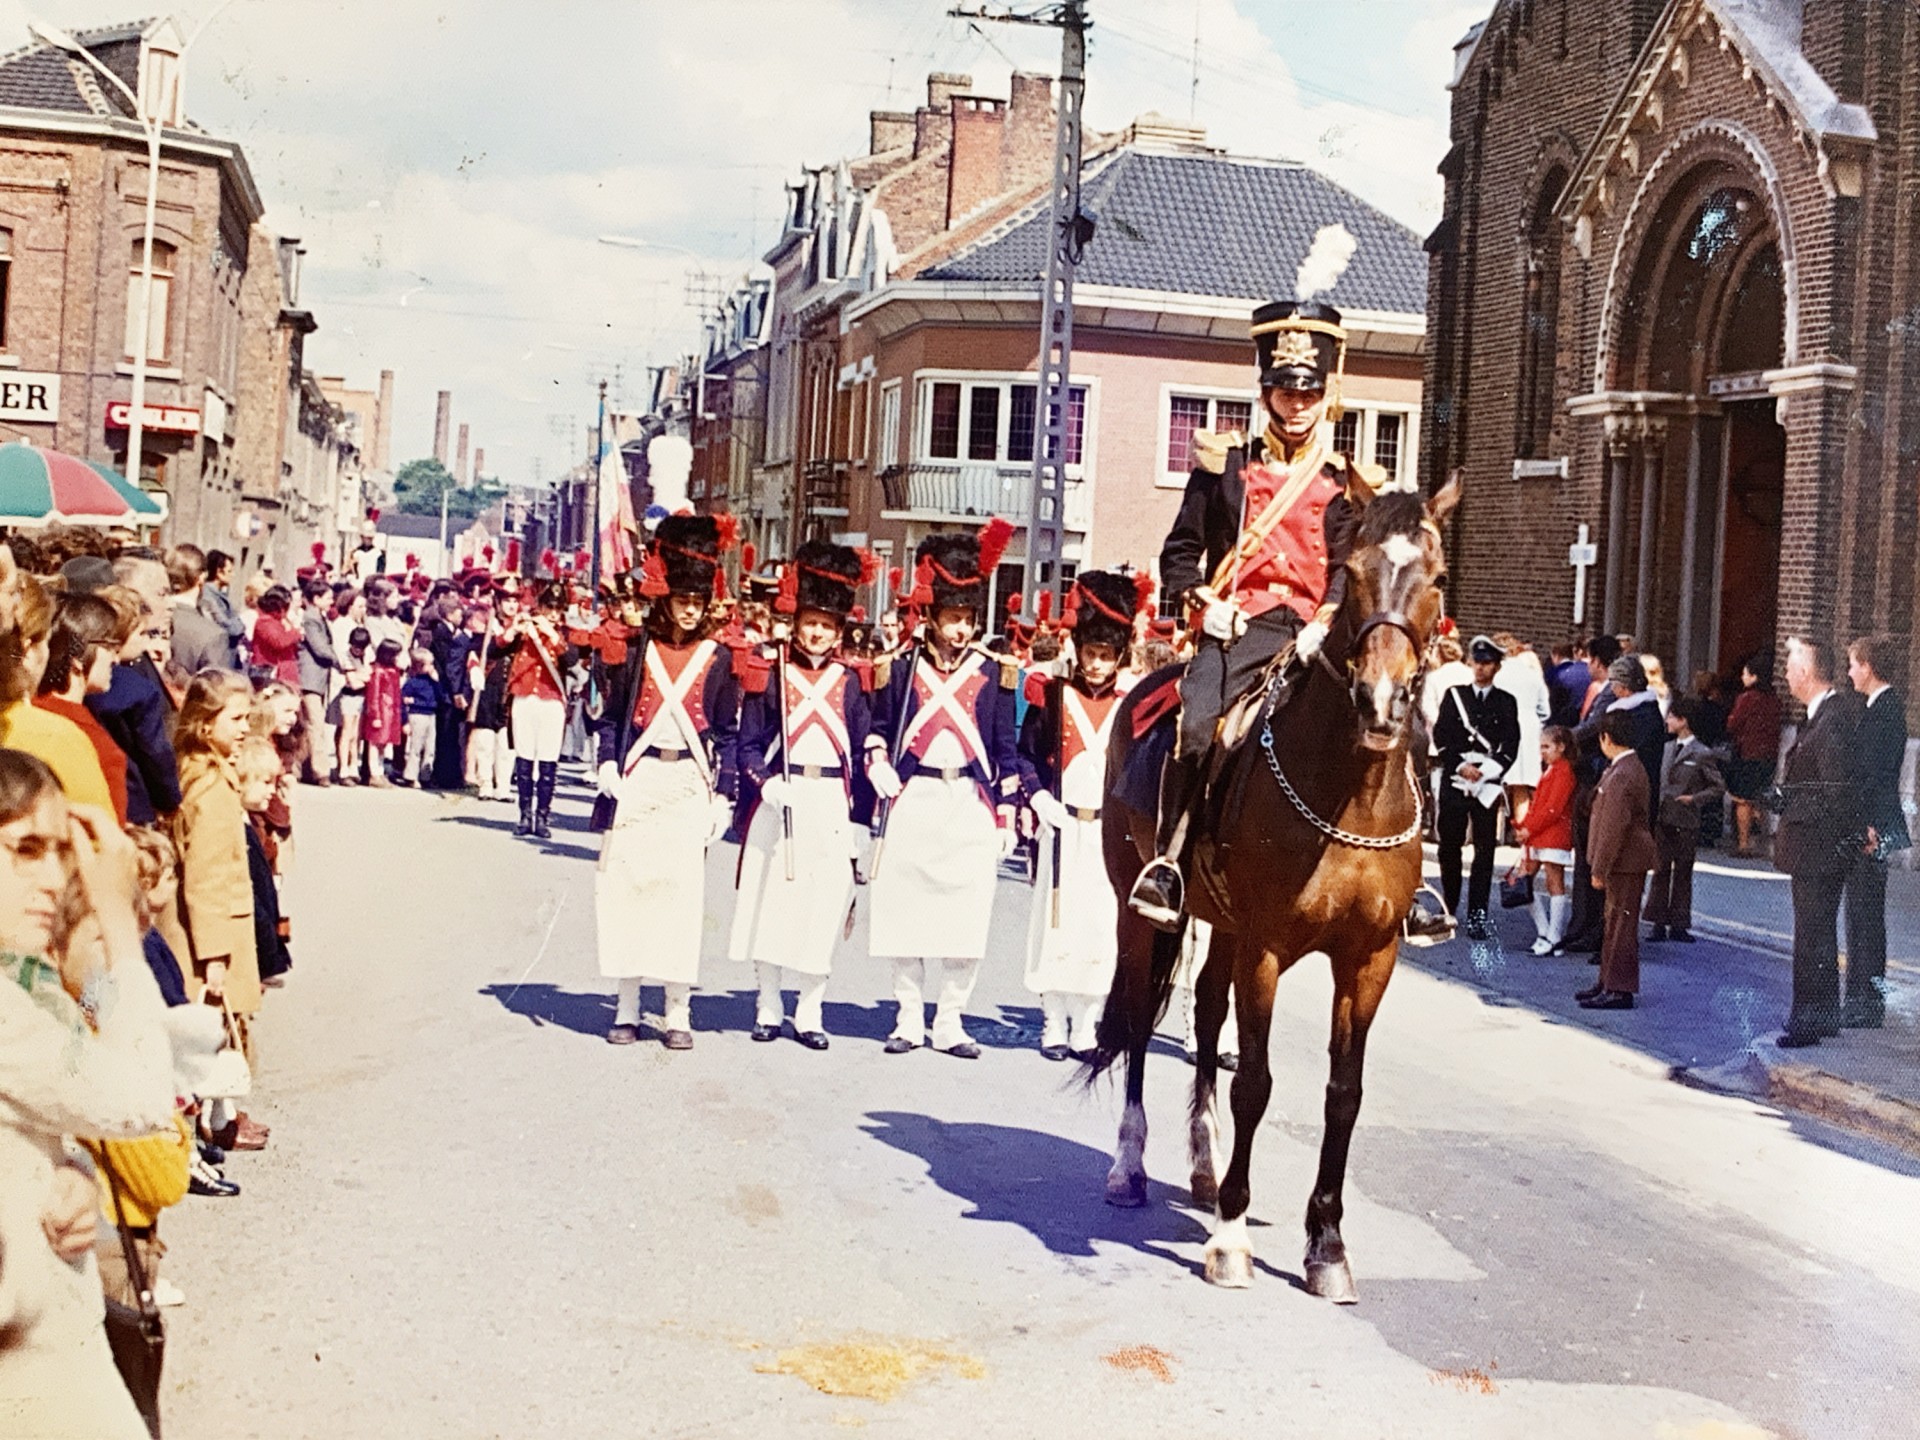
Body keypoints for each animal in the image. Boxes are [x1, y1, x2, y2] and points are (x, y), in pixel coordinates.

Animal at [1098, 480, 1451, 1305]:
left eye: (1438, 579)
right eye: (1351, 572)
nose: (1382, 703)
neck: (1350, 796)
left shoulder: (1369, 959)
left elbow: (1343, 1094)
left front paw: (1327, 1246)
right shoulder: (1266, 948)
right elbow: (1254, 1082)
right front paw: (1231, 1237)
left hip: (1221, 924)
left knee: (1202, 1017)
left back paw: (1201, 1164)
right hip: (1145, 914)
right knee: (1138, 1024)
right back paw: (1131, 1164)